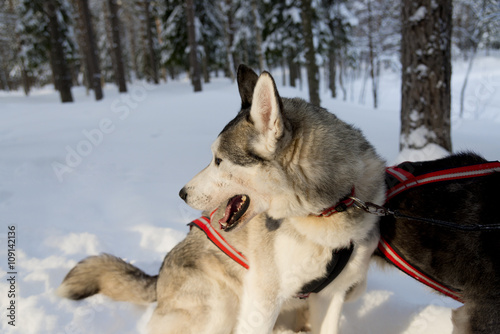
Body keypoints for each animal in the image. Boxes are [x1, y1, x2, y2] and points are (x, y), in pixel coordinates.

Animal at [180, 64, 386, 332]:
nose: (182, 193)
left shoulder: (332, 293)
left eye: (218, 160)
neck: (326, 212)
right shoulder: (264, 298)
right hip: (219, 303)